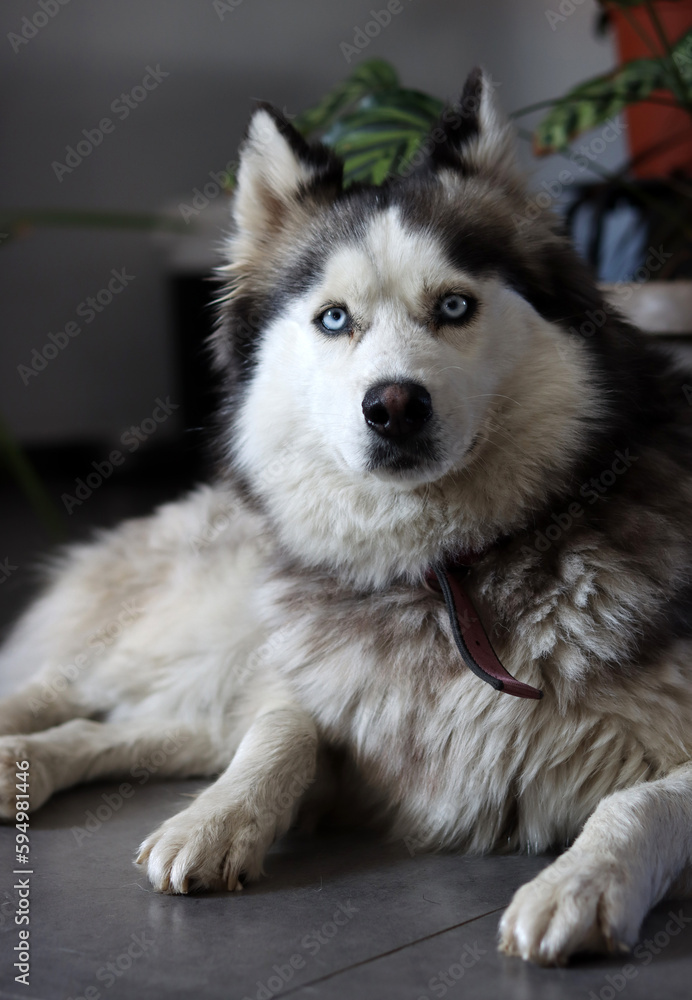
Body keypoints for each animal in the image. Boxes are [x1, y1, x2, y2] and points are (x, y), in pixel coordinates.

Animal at [4, 68, 692, 960]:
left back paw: (23, 761)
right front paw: (219, 818)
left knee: (120, 728)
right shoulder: (325, 684)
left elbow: (645, 800)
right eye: (334, 318)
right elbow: (280, 733)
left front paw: (581, 882)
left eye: (455, 307)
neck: (445, 574)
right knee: (72, 680)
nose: (394, 406)